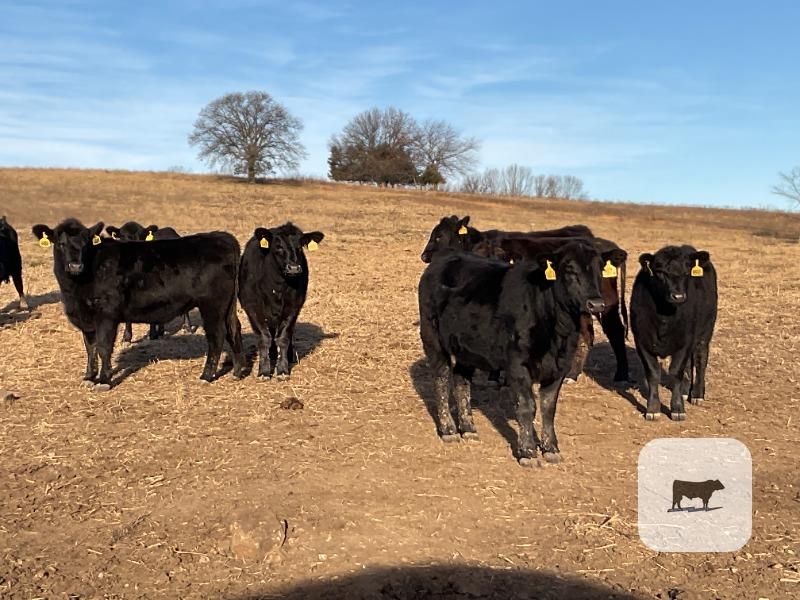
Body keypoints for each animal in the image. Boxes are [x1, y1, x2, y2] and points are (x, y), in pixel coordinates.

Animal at [32, 218, 245, 390]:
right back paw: (238, 370)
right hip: (226, 306)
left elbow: (103, 347)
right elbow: (90, 347)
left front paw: (104, 381)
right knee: (234, 328)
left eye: (86, 244)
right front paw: (89, 377)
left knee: (217, 335)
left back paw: (206, 375)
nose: (75, 265)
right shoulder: (86, 317)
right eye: (60, 243)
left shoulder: (106, 314)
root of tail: (221, 237)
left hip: (212, 305)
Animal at [238, 222, 324, 380]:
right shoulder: (253, 308)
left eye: (300, 246)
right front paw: (264, 371)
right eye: (278, 246)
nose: (294, 268)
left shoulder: (293, 307)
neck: (276, 286)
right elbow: (264, 338)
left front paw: (283, 370)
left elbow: (283, 337)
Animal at [418, 240, 612, 466]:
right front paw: (527, 452)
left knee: (461, 380)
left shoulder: (559, 366)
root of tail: (446, 256)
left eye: (600, 269)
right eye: (569, 269)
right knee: (441, 378)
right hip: (433, 338)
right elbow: (527, 406)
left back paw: (468, 428)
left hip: (466, 346)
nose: (596, 304)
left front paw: (551, 448)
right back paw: (448, 430)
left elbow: (548, 407)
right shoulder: (518, 364)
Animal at [421, 215, 631, 383]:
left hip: (605, 304)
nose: (424, 256)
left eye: (439, 235)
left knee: (614, 331)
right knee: (587, 333)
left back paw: (619, 375)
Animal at [630, 245, 718, 421]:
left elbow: (676, 372)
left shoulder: (686, 341)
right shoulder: (642, 341)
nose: (678, 296)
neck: (665, 315)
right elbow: (653, 373)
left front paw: (677, 409)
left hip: (705, 331)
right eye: (660, 272)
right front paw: (653, 409)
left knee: (700, 360)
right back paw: (685, 391)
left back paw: (697, 394)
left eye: (687, 271)